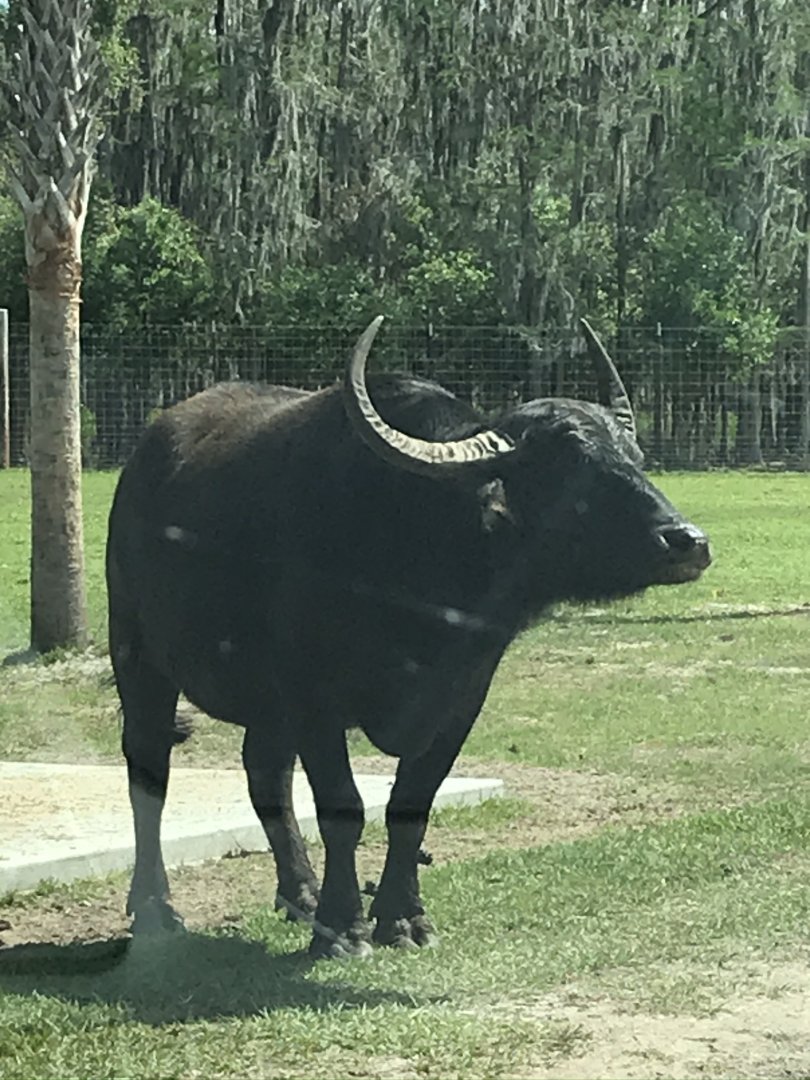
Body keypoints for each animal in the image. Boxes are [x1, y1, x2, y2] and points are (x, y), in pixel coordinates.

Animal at [106, 316, 710, 957]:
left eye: (633, 457)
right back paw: (157, 908)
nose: (688, 542)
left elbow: (411, 805)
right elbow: (343, 809)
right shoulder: (315, 700)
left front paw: (402, 918)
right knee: (149, 774)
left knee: (264, 772)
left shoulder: (461, 698)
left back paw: (300, 894)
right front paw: (344, 928)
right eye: (570, 468)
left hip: (266, 710)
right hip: (138, 659)